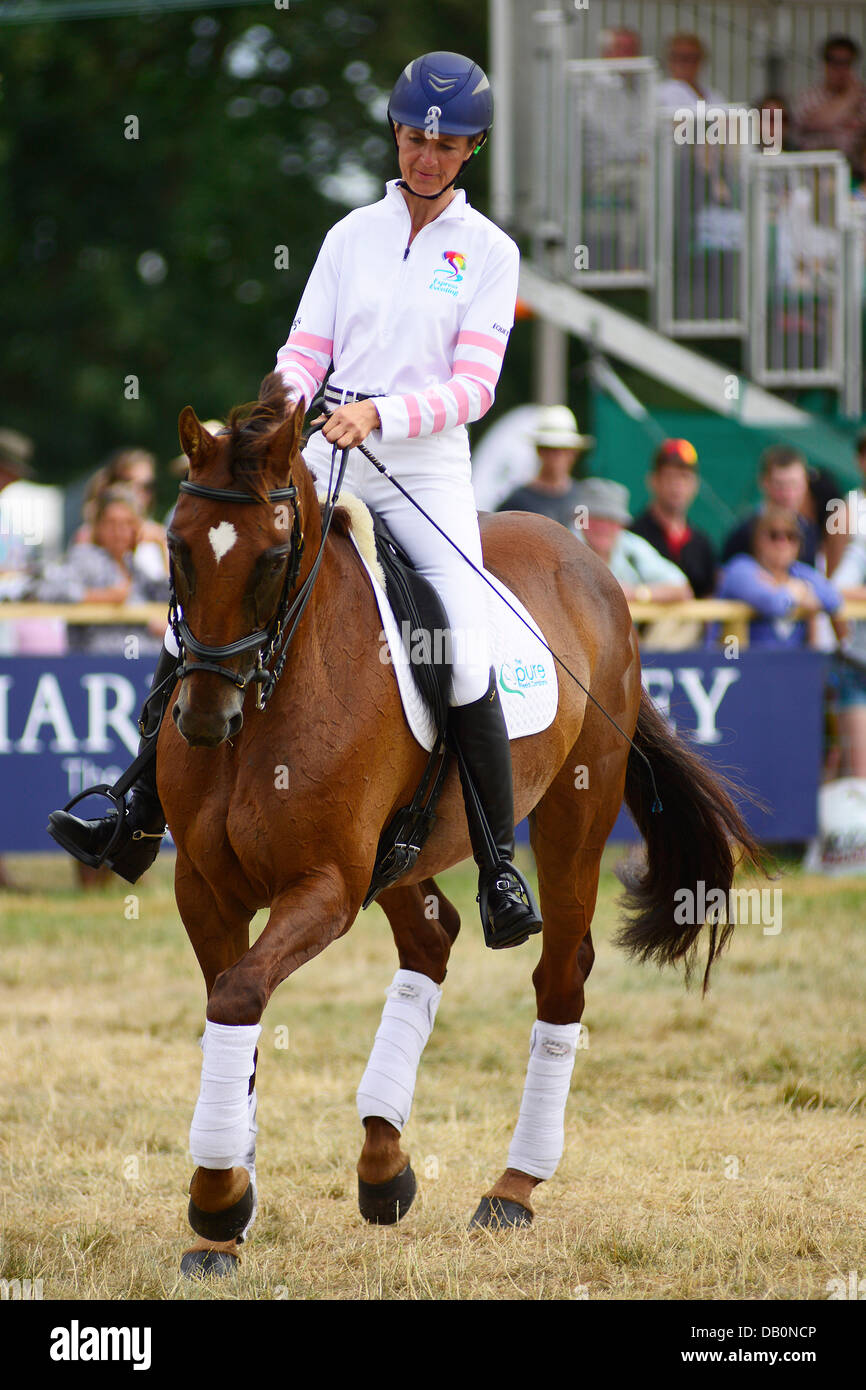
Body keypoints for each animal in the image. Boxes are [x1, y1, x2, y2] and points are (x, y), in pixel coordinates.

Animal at [161, 375, 756, 1273]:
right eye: (177, 547)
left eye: (269, 557)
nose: (204, 718)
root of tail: (589, 561)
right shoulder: (205, 888)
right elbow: (234, 1006)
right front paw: (231, 1207)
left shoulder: (326, 886)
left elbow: (236, 994)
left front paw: (220, 1200)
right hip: (400, 858)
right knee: (432, 939)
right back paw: (385, 1164)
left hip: (573, 814)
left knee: (559, 978)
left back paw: (512, 1188)